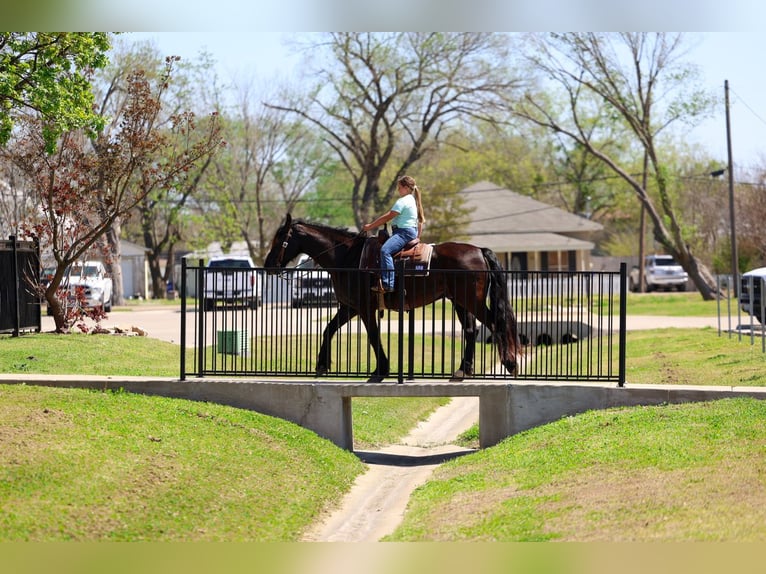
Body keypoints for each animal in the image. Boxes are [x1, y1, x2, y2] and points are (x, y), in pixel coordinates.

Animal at [264, 213, 521, 382]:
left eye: (279, 239)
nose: (268, 266)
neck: (348, 257)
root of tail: (479, 250)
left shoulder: (364, 307)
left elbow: (373, 335)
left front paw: (381, 370)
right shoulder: (350, 307)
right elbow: (329, 329)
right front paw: (322, 364)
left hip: (471, 301)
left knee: (495, 324)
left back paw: (510, 364)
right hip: (460, 301)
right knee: (471, 330)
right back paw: (463, 370)